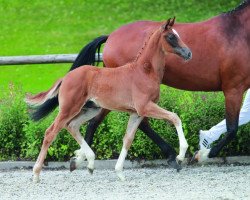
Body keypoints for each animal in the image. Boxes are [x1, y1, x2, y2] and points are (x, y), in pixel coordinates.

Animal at [25, 19, 191, 183]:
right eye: (171, 36)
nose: (188, 53)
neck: (144, 72)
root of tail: (65, 77)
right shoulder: (145, 107)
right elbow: (174, 117)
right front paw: (180, 155)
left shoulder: (136, 113)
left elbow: (128, 139)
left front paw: (119, 172)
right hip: (69, 108)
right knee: (51, 132)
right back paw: (36, 174)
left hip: (92, 109)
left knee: (72, 125)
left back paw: (90, 163)